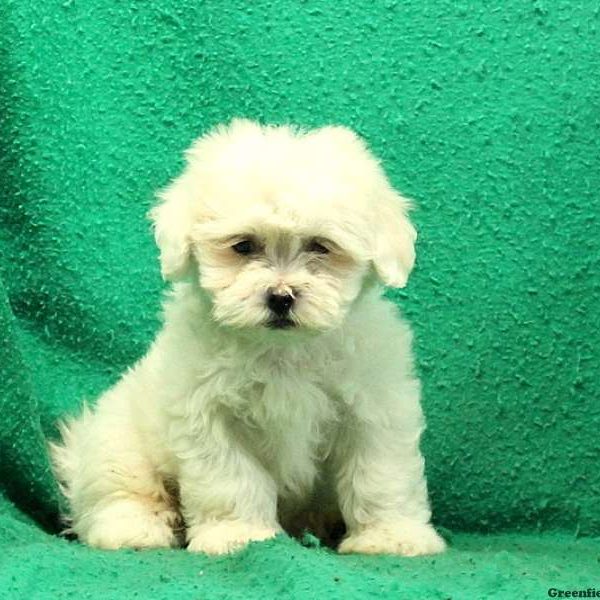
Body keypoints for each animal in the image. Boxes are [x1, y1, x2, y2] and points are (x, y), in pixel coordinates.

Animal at [50, 119, 446, 556]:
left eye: (320, 246)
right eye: (243, 246)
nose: (280, 297)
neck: (283, 350)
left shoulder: (374, 407)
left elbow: (380, 475)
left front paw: (392, 536)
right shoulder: (208, 414)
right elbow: (231, 480)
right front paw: (237, 536)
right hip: (118, 436)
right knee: (118, 489)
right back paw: (133, 529)